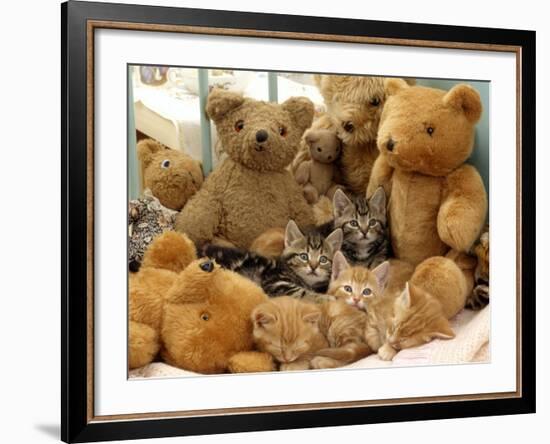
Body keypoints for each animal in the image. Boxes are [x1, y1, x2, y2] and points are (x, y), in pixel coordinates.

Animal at [201, 219, 342, 302]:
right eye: (304, 256)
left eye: (323, 259)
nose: (313, 267)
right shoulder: (276, 283)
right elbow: (302, 293)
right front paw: (328, 298)